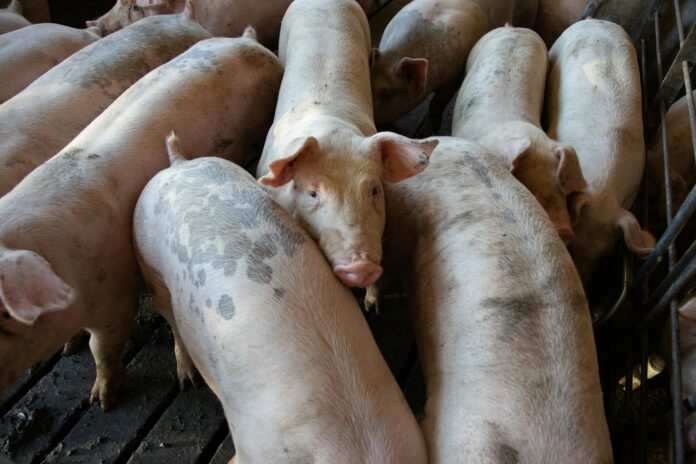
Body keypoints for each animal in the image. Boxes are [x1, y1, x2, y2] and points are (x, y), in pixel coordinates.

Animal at [0, 31, 283, 410]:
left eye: (4, 314)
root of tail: (246, 40)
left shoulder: (114, 293)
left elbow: (103, 347)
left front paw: (102, 402)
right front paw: (70, 350)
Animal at [370, 0, 539, 130]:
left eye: (387, 93)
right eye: (369, 83)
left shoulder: (453, 79)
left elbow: (437, 103)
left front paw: (425, 132)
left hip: (528, 14)